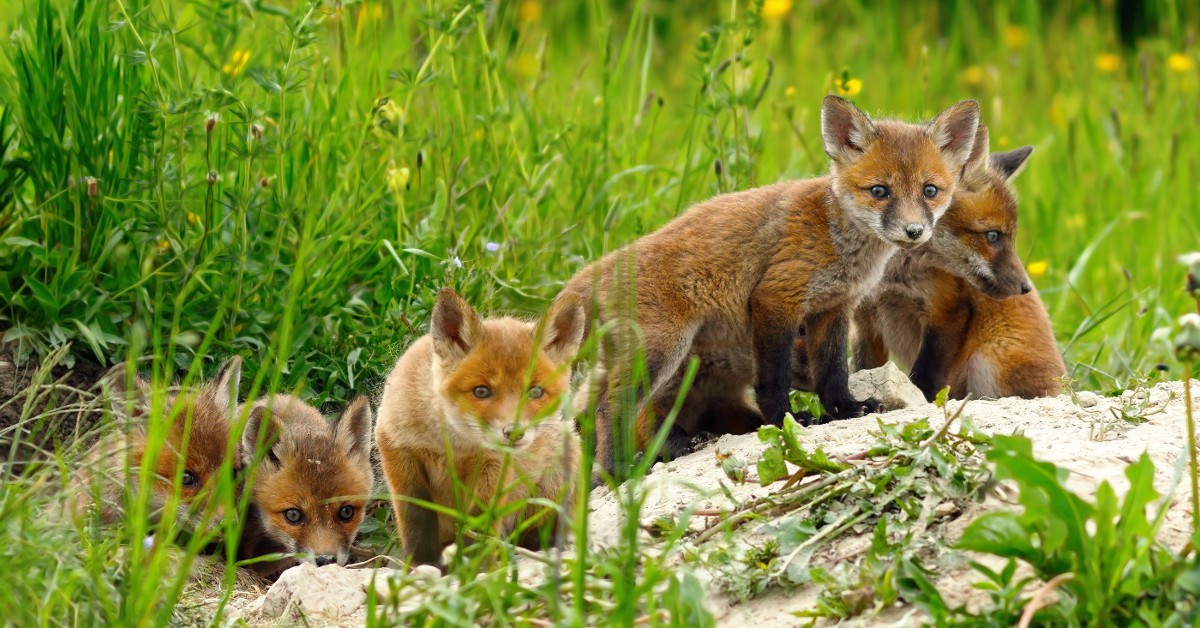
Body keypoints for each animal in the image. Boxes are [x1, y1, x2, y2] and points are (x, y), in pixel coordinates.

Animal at [375, 288, 584, 566]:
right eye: (481, 391)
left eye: (536, 392)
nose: (514, 432)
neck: (453, 444)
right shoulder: (397, 451)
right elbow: (417, 520)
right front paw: (421, 565)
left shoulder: (493, 466)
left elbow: (480, 522)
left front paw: (477, 568)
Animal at [562, 95, 980, 478]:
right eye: (879, 191)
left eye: (930, 190)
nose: (914, 231)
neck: (837, 239)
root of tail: (602, 266)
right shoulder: (776, 299)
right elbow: (773, 379)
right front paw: (785, 421)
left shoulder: (832, 308)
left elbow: (832, 371)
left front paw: (845, 409)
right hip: (662, 350)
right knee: (611, 406)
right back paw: (618, 469)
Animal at [792, 126, 1065, 400]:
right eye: (993, 236)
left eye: (1009, 237)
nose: (1025, 288)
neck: (890, 279)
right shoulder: (865, 319)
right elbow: (866, 368)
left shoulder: (946, 312)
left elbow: (924, 377)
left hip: (987, 360)